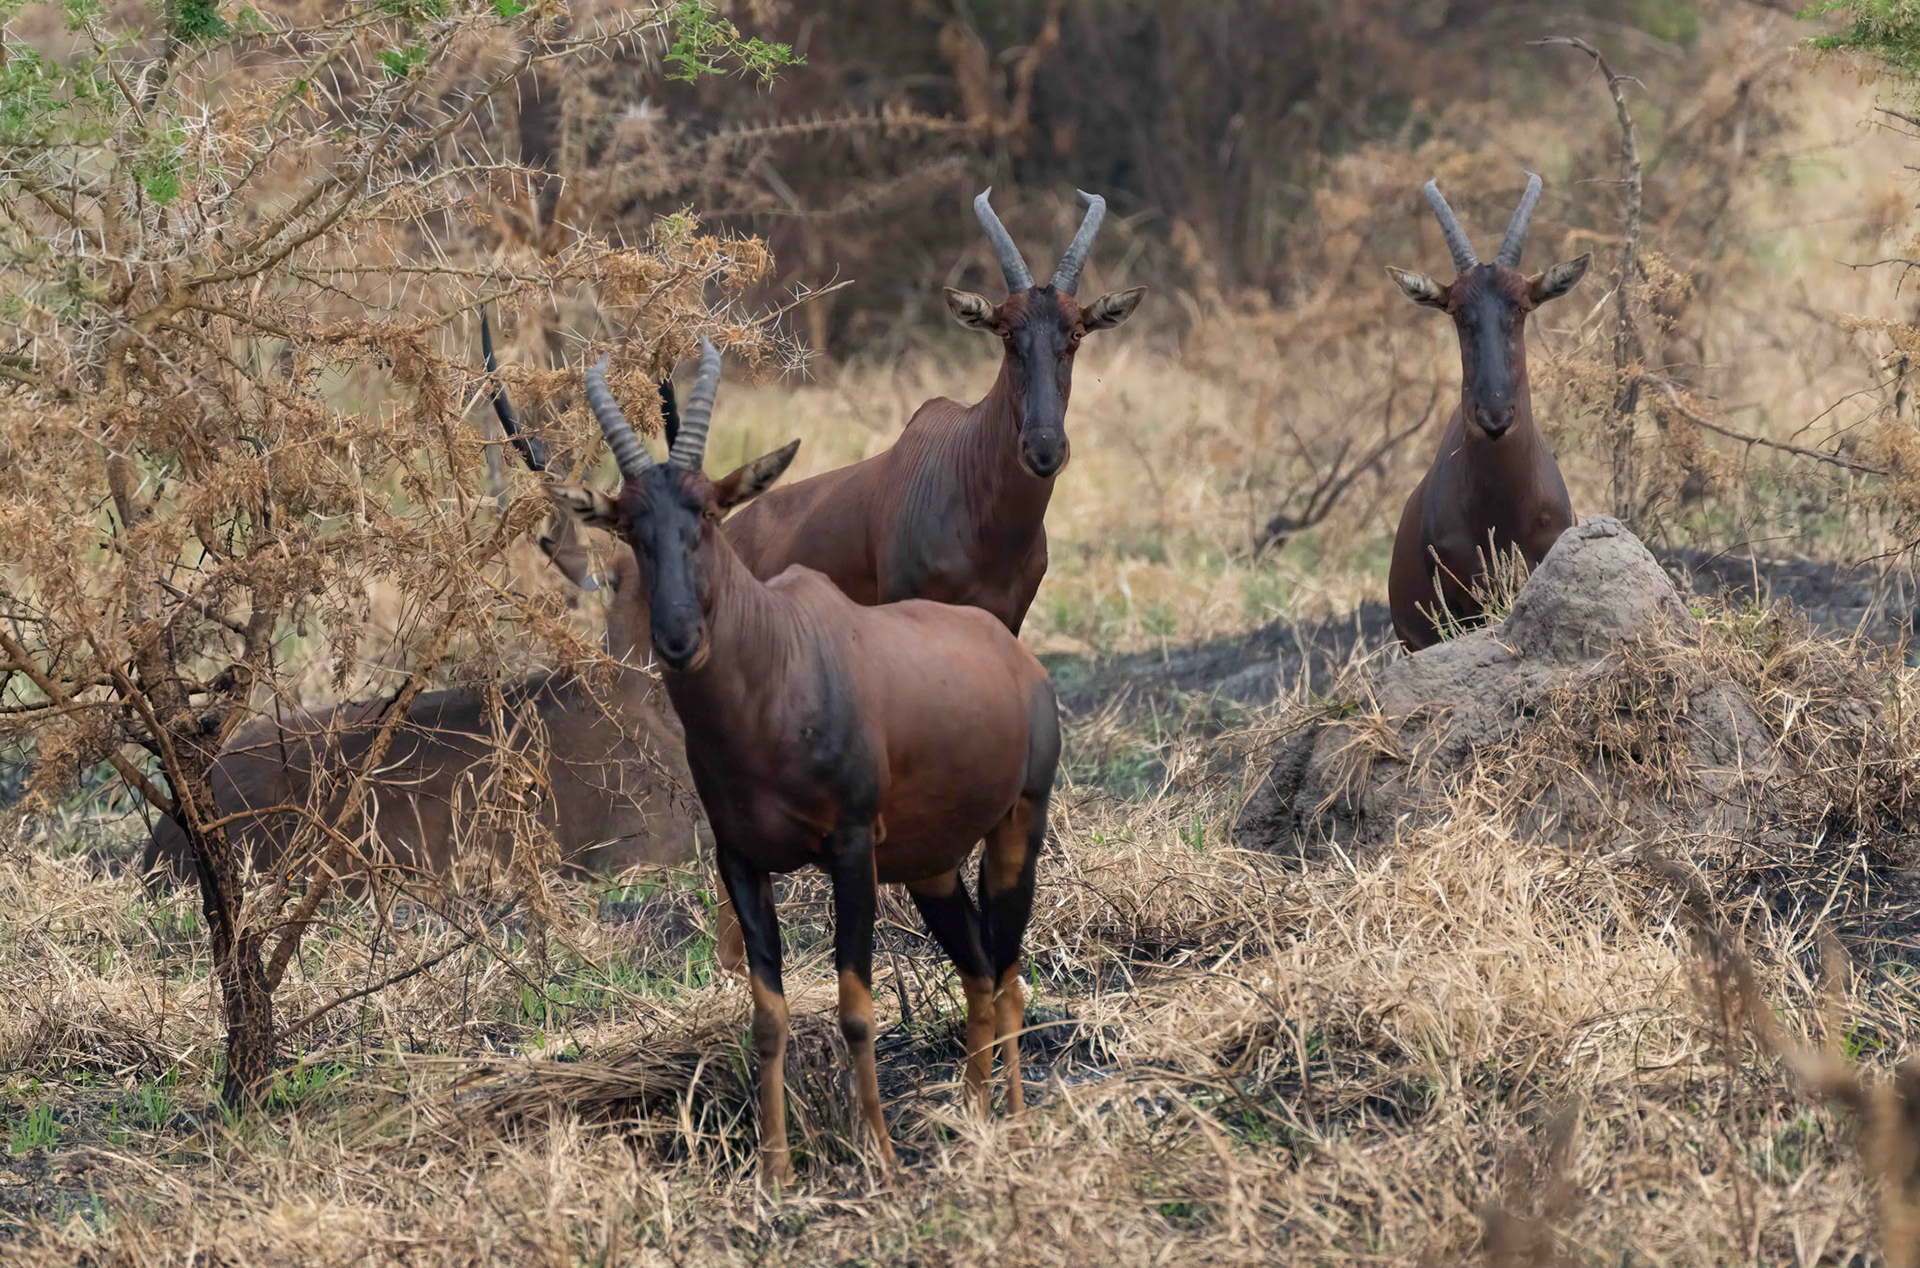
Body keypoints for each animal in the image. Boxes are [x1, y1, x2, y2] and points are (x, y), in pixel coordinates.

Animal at [552, 343, 1060, 1184]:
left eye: (709, 512)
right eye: (626, 522)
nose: (678, 639)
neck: (779, 664)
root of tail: (1018, 661)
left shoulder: (850, 852)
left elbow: (856, 1010)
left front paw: (880, 1159)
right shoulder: (741, 861)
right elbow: (768, 1016)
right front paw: (774, 1170)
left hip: (1018, 828)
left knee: (1013, 977)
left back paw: (1015, 1130)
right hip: (931, 867)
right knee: (981, 973)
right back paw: (975, 1120)